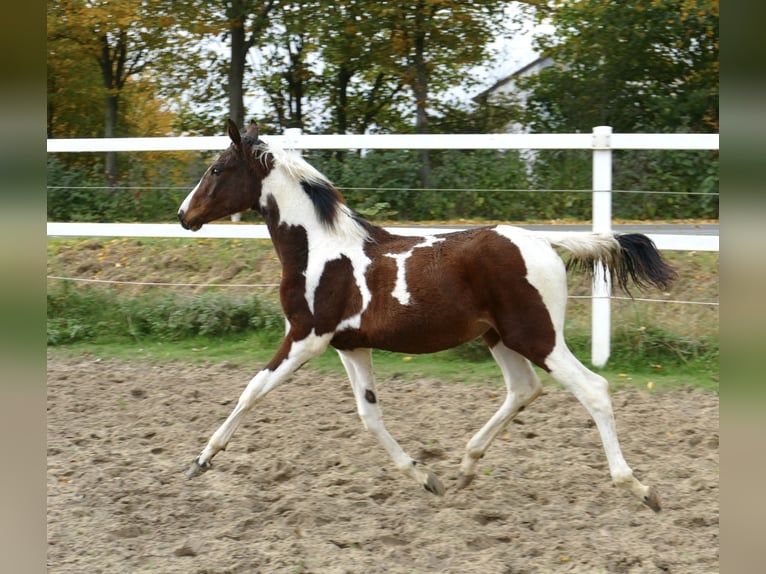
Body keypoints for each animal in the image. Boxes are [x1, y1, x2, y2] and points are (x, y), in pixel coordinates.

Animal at [177, 120, 676, 512]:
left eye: (216, 168)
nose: (184, 215)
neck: (319, 250)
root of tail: (544, 242)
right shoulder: (350, 346)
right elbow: (369, 416)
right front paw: (425, 477)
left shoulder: (305, 336)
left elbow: (251, 391)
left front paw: (201, 460)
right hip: (498, 336)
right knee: (524, 388)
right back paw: (466, 467)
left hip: (536, 335)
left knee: (594, 389)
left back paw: (641, 489)